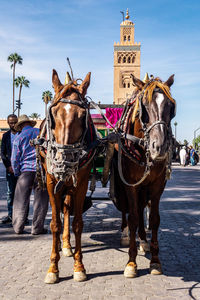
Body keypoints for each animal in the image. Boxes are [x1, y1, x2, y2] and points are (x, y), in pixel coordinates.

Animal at [37, 69, 97, 282]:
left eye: (83, 115)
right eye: (53, 114)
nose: (65, 160)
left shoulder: (81, 183)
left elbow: (77, 223)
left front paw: (79, 267)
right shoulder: (50, 182)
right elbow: (55, 223)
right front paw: (53, 269)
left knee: (67, 208)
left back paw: (67, 246)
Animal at [111, 74, 176, 278]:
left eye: (171, 107)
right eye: (144, 106)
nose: (160, 147)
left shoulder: (156, 185)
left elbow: (154, 219)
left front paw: (155, 260)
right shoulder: (130, 184)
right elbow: (132, 217)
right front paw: (131, 262)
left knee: (140, 210)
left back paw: (143, 241)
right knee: (128, 211)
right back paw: (126, 235)